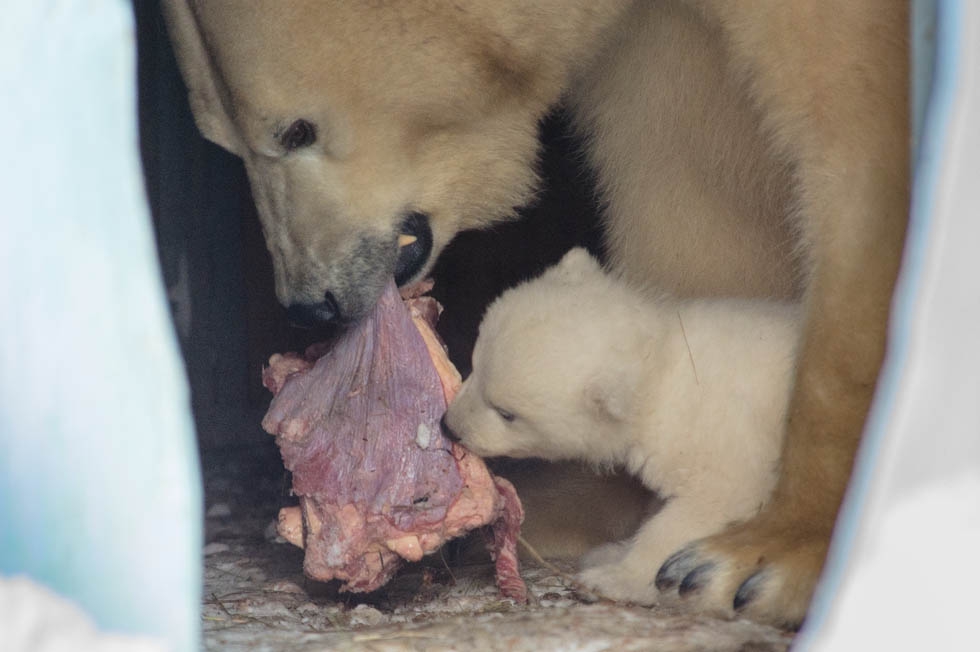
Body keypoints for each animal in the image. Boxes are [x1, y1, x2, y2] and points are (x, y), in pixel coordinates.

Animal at [163, 1, 912, 632]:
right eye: (222, 140)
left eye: (297, 129)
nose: (308, 302)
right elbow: (685, 179)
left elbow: (857, 160)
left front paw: (758, 558)